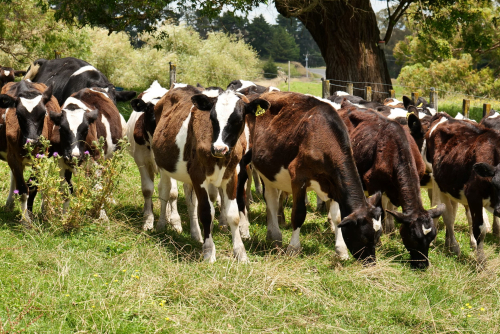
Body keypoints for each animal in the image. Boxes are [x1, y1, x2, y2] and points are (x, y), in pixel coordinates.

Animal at [0, 79, 59, 223]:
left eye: (43, 114)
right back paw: (10, 203)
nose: (32, 141)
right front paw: (26, 220)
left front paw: (31, 212)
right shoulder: (12, 157)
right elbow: (22, 189)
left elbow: (32, 186)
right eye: (18, 115)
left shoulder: (40, 157)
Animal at [246, 92, 382, 264]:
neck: (323, 137)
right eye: (364, 237)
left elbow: (338, 217)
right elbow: (298, 214)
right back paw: (276, 236)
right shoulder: (298, 178)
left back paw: (272, 236)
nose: (371, 262)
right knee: (271, 201)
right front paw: (293, 248)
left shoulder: (334, 183)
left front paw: (341, 251)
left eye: (377, 236)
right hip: (261, 169)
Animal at [426, 113, 500, 264]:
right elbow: (480, 229)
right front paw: (481, 262)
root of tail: (445, 117)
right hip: (438, 184)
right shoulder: (474, 195)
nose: (499, 210)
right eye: (496, 184)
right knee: (447, 215)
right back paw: (453, 247)